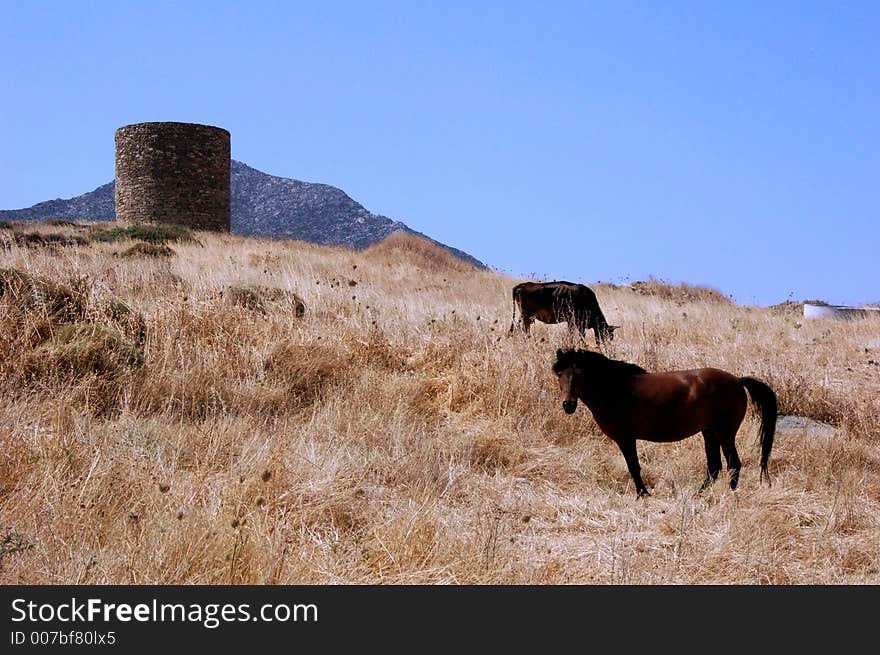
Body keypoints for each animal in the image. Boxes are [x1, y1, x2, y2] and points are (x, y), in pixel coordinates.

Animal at [552, 348, 772, 498]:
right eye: (560, 374)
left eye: (579, 375)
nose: (568, 405)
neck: (616, 388)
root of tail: (737, 381)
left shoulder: (626, 438)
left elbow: (634, 467)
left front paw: (643, 494)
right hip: (709, 432)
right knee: (715, 467)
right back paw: (699, 494)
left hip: (724, 433)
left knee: (733, 464)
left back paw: (729, 494)